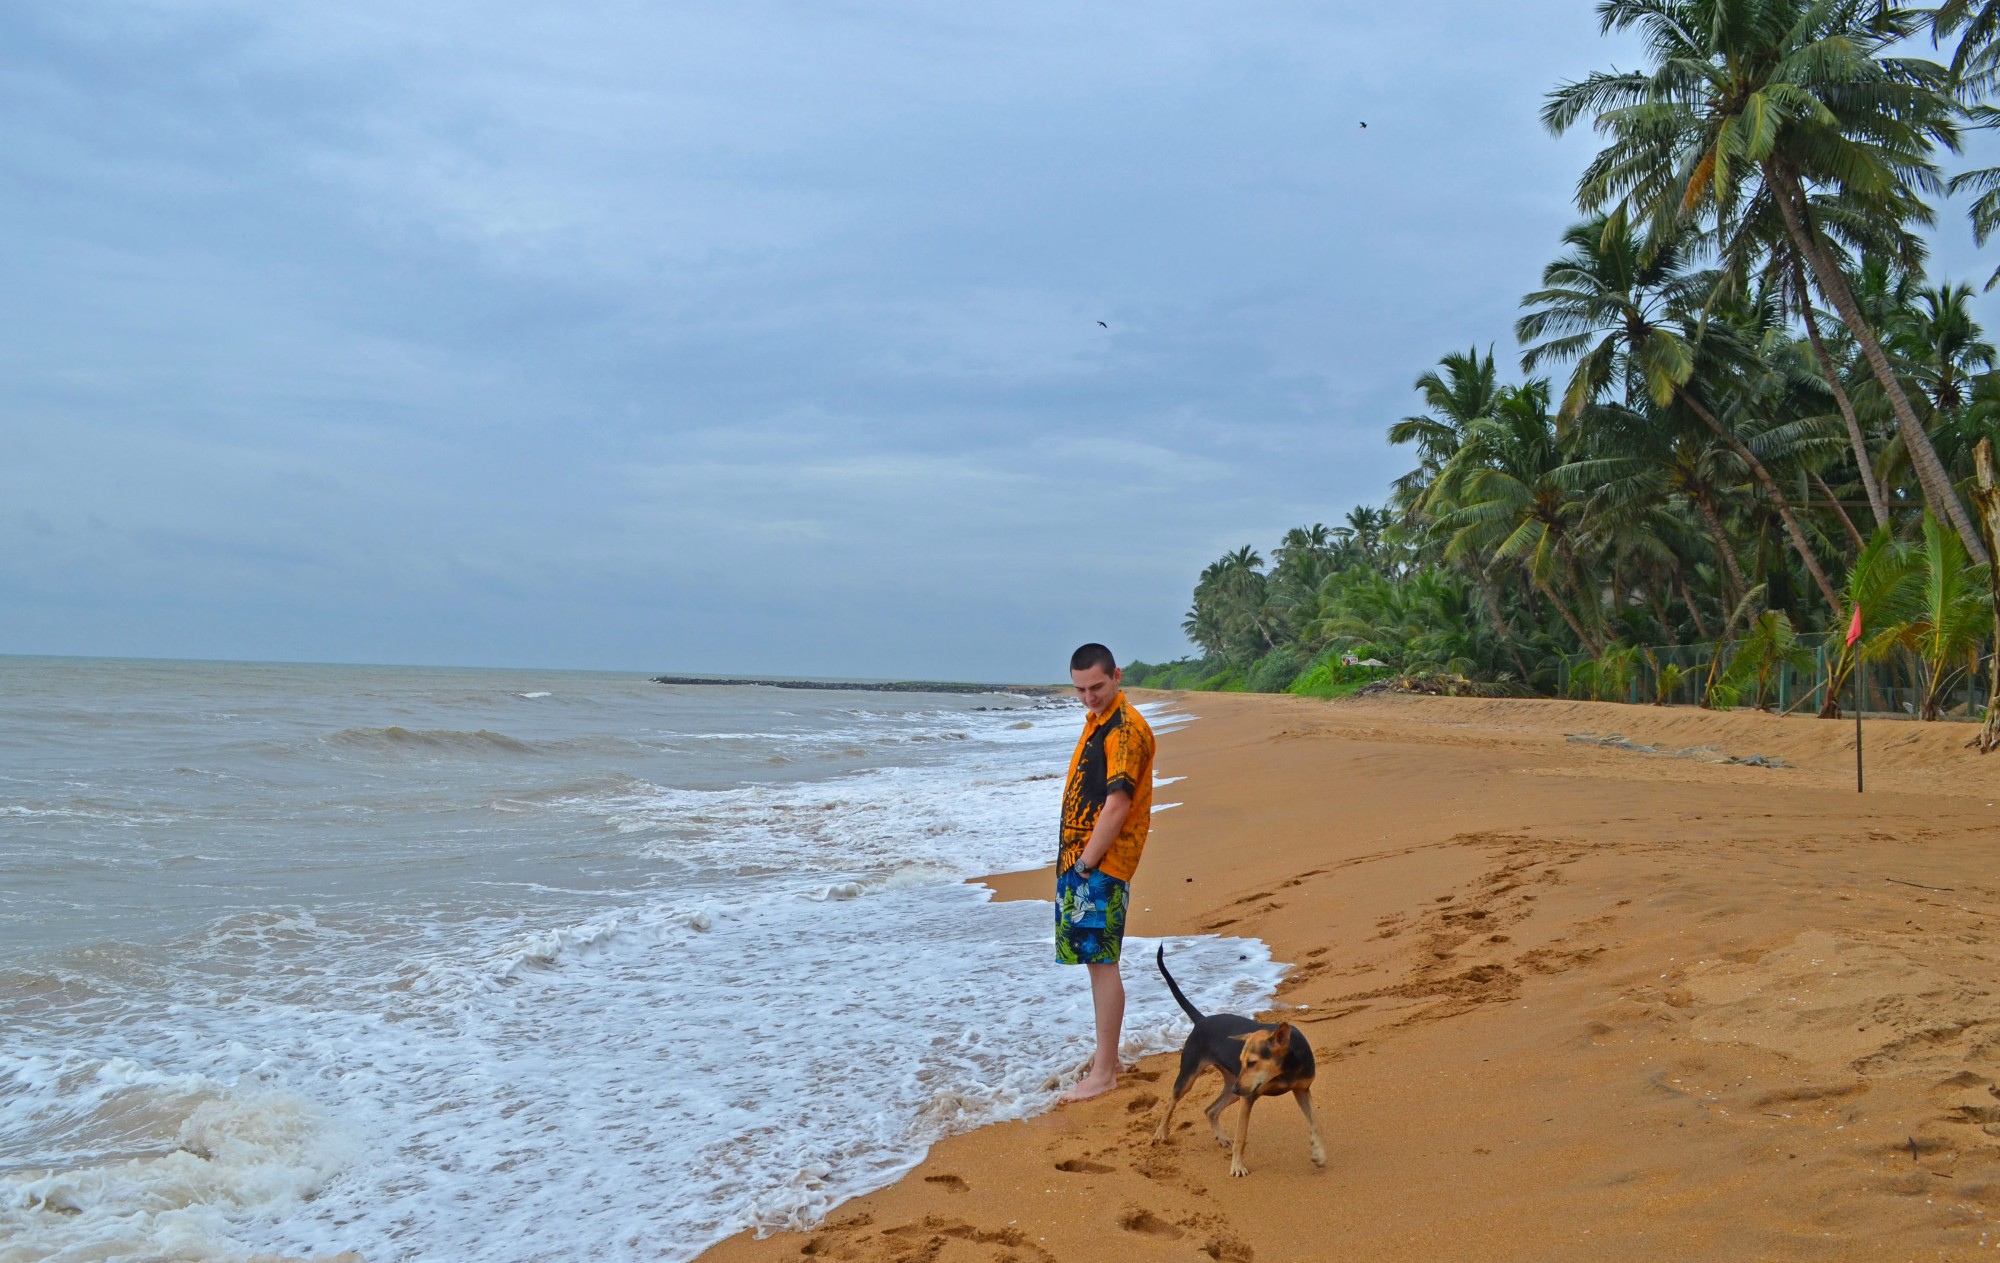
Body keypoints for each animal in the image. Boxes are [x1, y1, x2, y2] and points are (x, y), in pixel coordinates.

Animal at [1152, 947, 1320, 1175]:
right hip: (1196, 1076)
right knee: (1172, 1101)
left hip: (1232, 1086)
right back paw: (1161, 1132)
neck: (1286, 1068)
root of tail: (1202, 1020)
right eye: (1243, 1061)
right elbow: (1242, 1136)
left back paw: (1221, 1137)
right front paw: (1238, 1166)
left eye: (1252, 1063)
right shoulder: (1247, 1098)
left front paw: (1318, 1153)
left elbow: (1314, 1123)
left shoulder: (1302, 1090)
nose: (1237, 1089)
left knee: (1210, 1110)